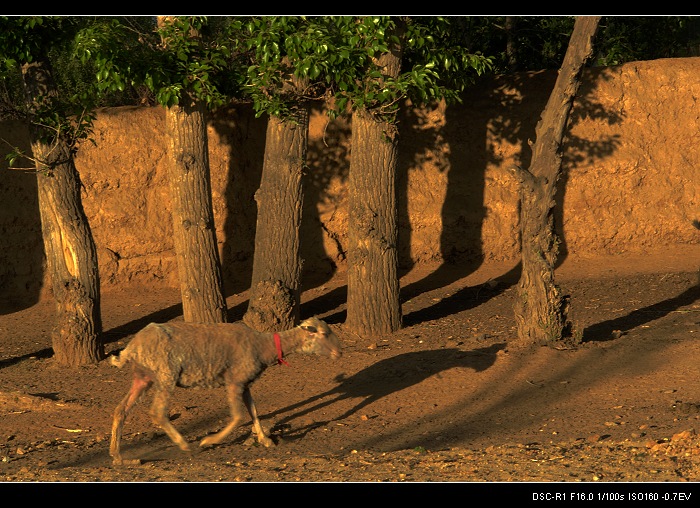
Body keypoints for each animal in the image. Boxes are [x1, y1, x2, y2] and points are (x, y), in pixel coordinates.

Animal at [107, 316, 344, 466]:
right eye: (324, 334)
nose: (340, 353)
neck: (263, 346)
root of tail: (131, 348)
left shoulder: (245, 383)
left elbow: (254, 411)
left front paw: (265, 439)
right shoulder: (234, 381)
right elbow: (238, 416)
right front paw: (209, 441)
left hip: (143, 377)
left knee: (120, 410)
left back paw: (117, 456)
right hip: (166, 374)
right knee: (157, 412)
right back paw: (185, 444)